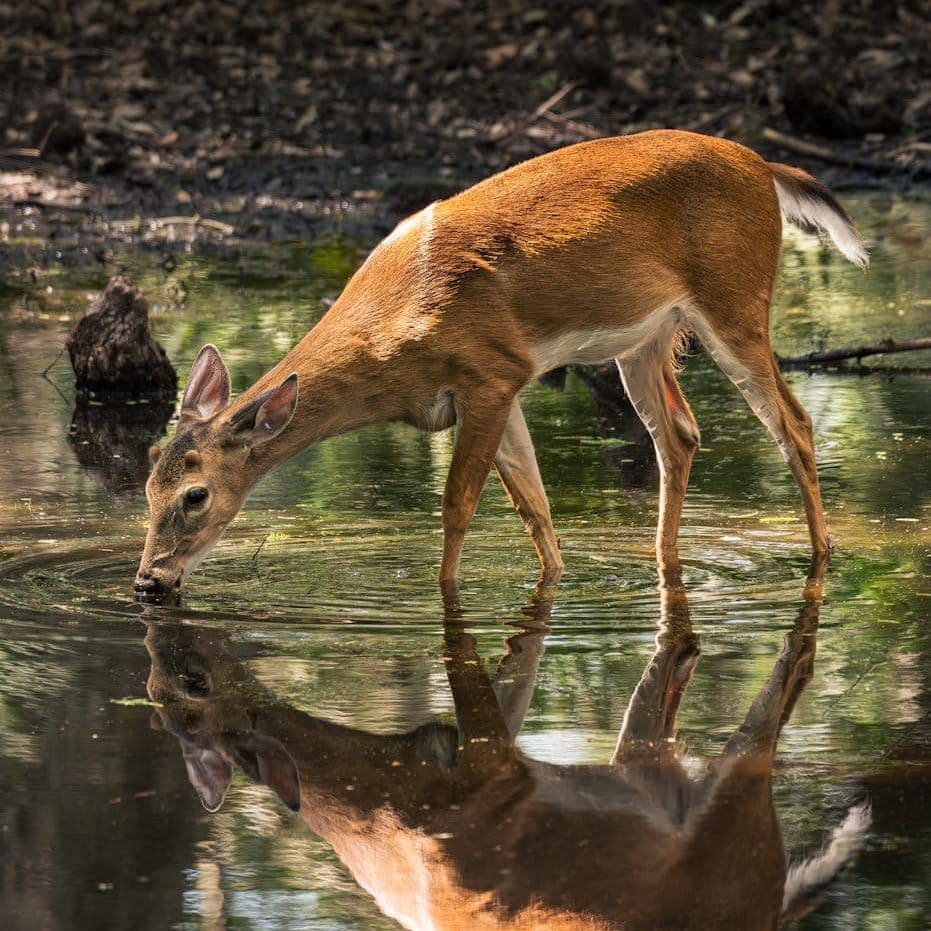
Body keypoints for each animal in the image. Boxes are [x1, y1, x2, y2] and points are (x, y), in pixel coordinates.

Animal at [135, 130, 867, 597]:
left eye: (195, 494)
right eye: (146, 487)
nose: (148, 580)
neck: (392, 328)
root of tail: (767, 168)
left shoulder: (489, 371)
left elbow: (458, 504)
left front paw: (445, 595)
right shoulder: (500, 384)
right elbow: (533, 506)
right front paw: (556, 579)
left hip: (735, 301)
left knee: (793, 423)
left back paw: (821, 558)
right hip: (644, 339)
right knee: (679, 433)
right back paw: (664, 562)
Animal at [143, 566, 870, 930]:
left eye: (192, 693)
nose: (150, 595)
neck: (390, 807)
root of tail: (773, 908)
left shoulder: (493, 771)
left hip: (738, 817)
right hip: (653, 768)